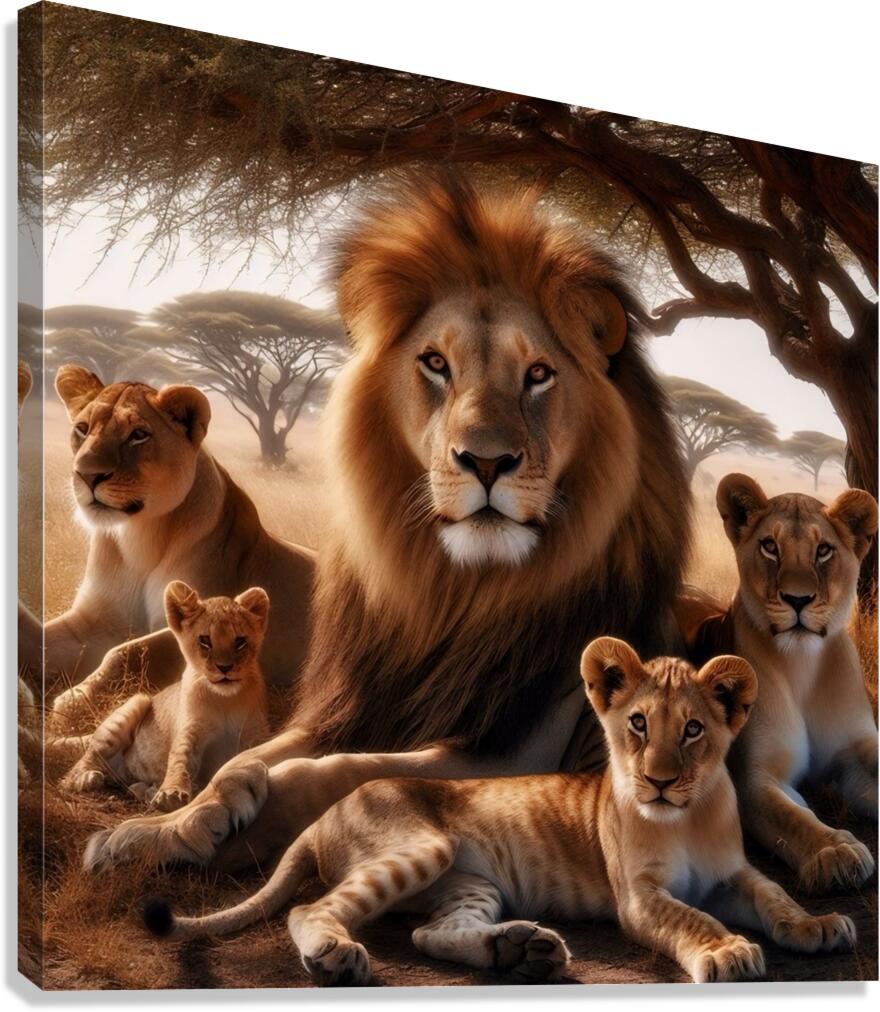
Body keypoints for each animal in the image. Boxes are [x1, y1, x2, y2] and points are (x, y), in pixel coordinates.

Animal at [39, 367, 314, 711]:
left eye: (138, 435)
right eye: (82, 428)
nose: (86, 474)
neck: (138, 538)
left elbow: (126, 653)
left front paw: (72, 702)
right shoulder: (95, 618)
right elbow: (40, 638)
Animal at [61, 581, 270, 811]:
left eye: (240, 641)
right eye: (205, 641)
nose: (225, 667)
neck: (225, 700)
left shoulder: (256, 733)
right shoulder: (189, 732)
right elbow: (180, 759)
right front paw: (171, 793)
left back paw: (146, 791)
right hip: (136, 703)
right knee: (78, 767)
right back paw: (87, 778)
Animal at [84, 173, 691, 874]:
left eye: (539, 374)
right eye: (436, 364)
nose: (486, 461)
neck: (455, 595)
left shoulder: (510, 751)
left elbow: (337, 773)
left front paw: (192, 832)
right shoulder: (352, 708)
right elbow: (249, 759)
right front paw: (163, 822)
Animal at [145, 638, 855, 986]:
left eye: (693, 731)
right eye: (637, 723)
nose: (657, 783)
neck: (687, 817)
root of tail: (324, 817)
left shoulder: (733, 872)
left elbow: (775, 897)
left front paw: (819, 927)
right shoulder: (639, 896)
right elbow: (693, 918)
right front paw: (728, 951)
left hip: (469, 884)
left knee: (428, 934)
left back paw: (520, 951)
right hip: (420, 850)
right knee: (309, 911)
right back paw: (337, 956)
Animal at [710, 474, 878, 892]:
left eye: (823, 551)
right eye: (770, 546)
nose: (798, 600)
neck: (803, 664)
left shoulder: (856, 752)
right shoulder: (756, 777)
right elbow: (795, 818)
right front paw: (835, 851)